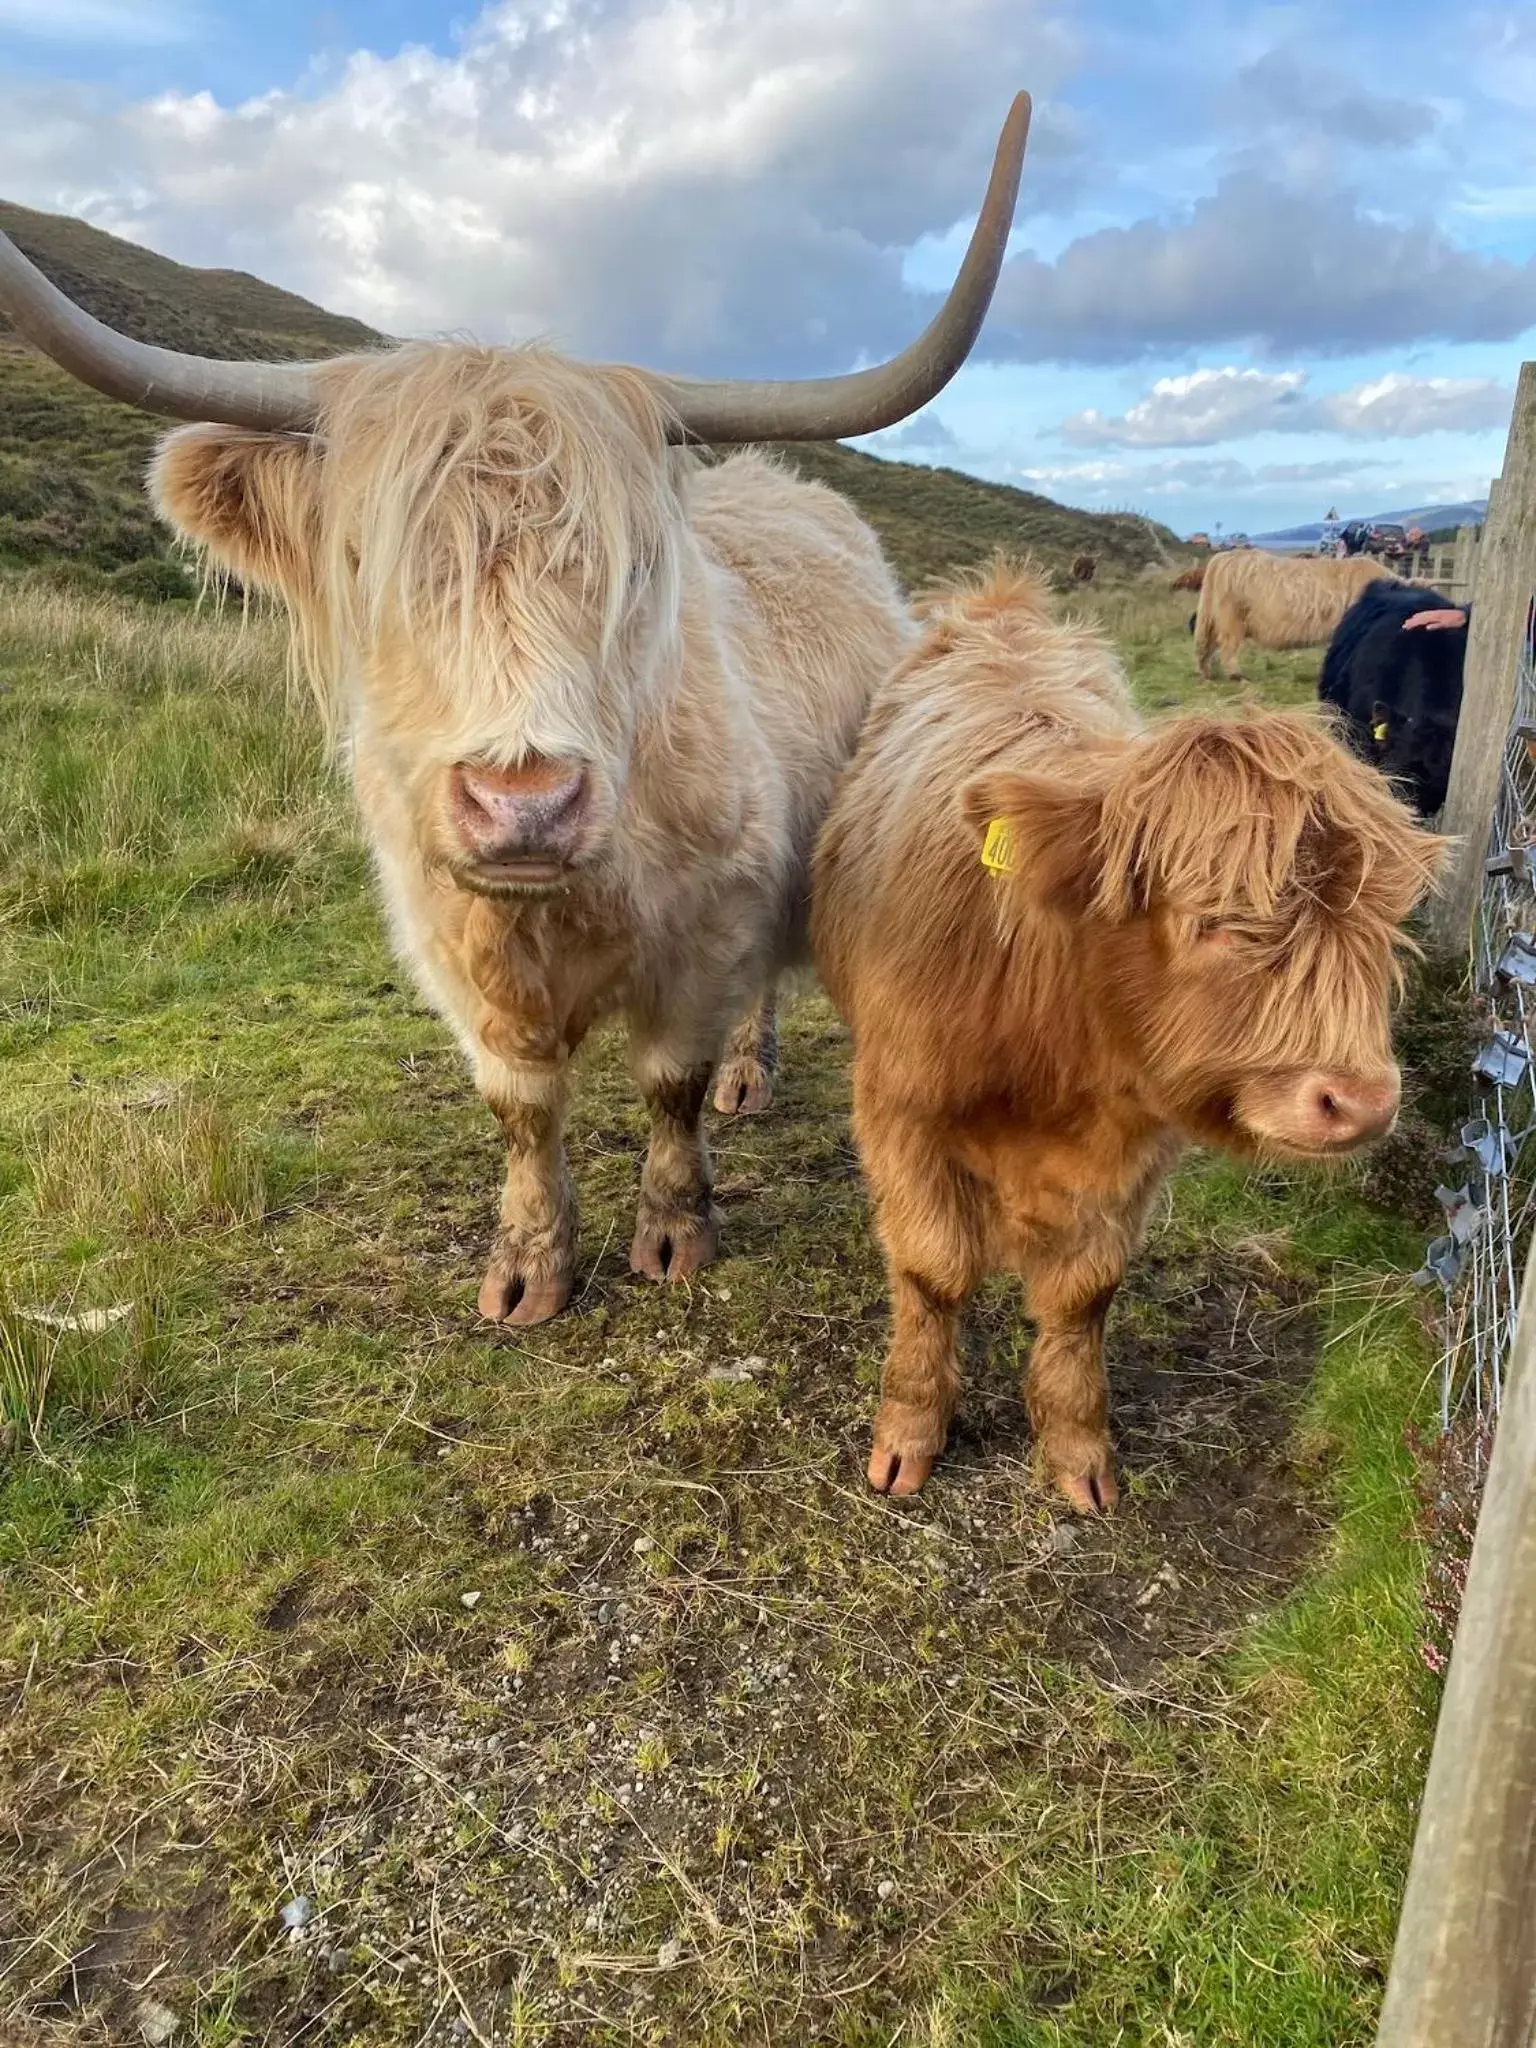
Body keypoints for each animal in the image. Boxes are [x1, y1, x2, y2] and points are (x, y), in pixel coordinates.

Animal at [811, 569, 1449, 1515]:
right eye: (1213, 919)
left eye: (1384, 923)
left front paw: (1078, 1448)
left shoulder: (1134, 1147)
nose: (1362, 1103)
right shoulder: (899, 1110)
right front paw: (909, 1434)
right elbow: (931, 1274)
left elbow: (1084, 1295)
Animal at [1196, 548, 1400, 684]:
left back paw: (1207, 673)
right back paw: (1236, 676)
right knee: (1227, 646)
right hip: (1232, 617)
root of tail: (1223, 556)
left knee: (1208, 645)